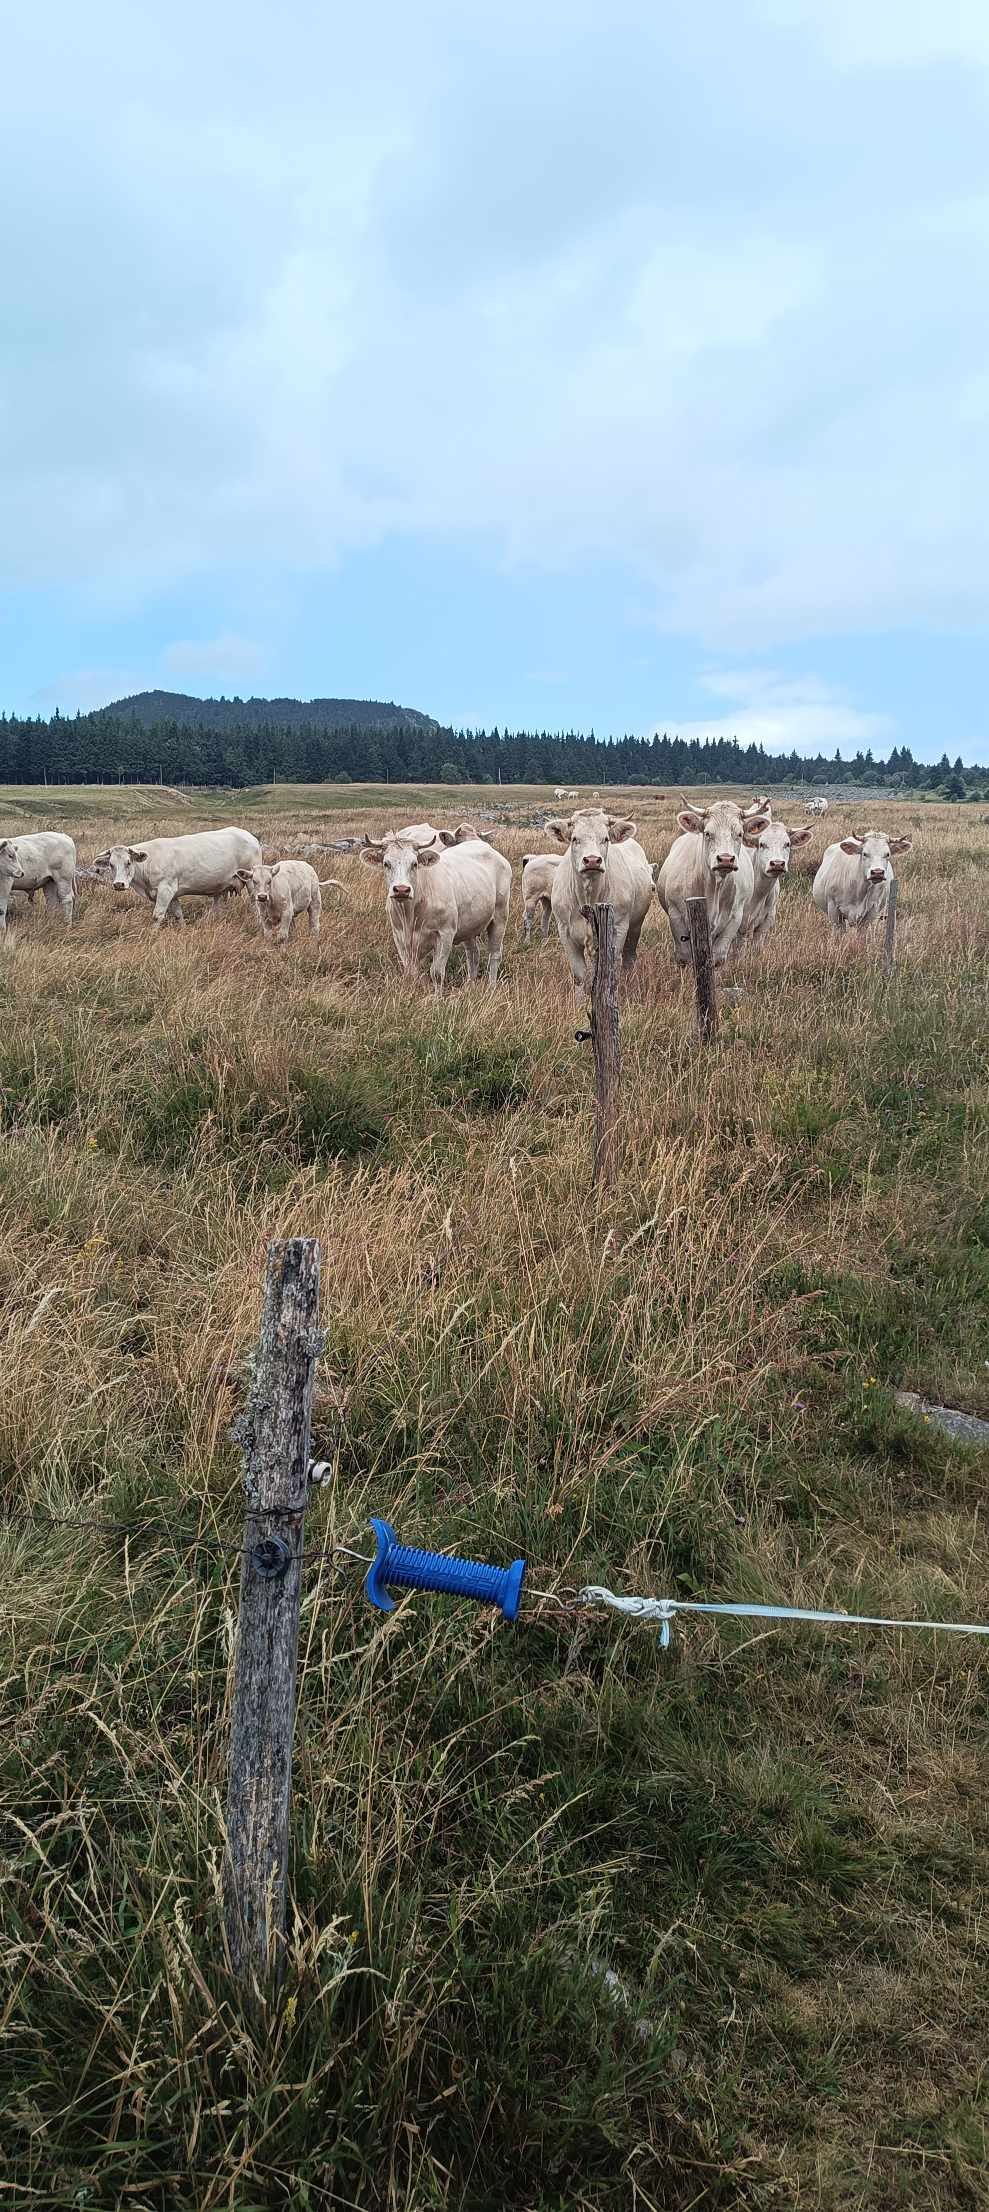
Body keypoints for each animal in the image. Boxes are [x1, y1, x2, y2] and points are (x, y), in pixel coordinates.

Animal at [94, 827, 262, 929]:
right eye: (111, 864)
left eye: (128, 862)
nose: (119, 884)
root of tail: (250, 836)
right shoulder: (172, 894)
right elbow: (178, 914)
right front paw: (182, 928)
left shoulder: (165, 889)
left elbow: (157, 915)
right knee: (217, 905)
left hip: (252, 881)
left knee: (256, 904)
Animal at [360, 833, 512, 993]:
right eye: (386, 863)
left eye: (414, 864)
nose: (401, 889)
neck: (410, 915)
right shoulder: (400, 937)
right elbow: (410, 972)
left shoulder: (445, 934)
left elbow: (437, 973)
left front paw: (437, 997)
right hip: (470, 925)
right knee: (473, 954)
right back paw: (470, 985)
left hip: (500, 917)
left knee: (494, 954)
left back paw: (492, 988)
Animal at [545, 809, 653, 987]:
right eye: (575, 839)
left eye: (605, 839)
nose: (592, 860)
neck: (588, 898)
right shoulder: (565, 933)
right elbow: (579, 975)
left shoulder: (618, 928)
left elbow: (612, 966)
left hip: (635, 925)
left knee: (629, 956)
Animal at [654, 800, 770, 968]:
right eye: (708, 833)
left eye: (740, 834)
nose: (726, 859)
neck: (714, 887)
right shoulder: (676, 916)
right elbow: (684, 957)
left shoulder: (734, 919)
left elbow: (718, 958)